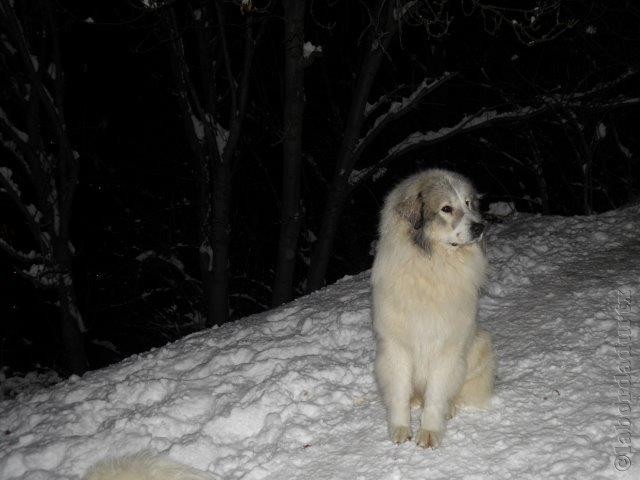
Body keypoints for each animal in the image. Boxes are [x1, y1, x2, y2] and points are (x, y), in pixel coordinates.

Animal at [372, 168, 498, 446]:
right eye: (446, 208)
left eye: (468, 203)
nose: (480, 226)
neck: (433, 266)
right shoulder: (397, 347)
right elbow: (399, 392)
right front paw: (400, 428)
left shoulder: (447, 348)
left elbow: (437, 396)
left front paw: (429, 431)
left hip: (479, 343)